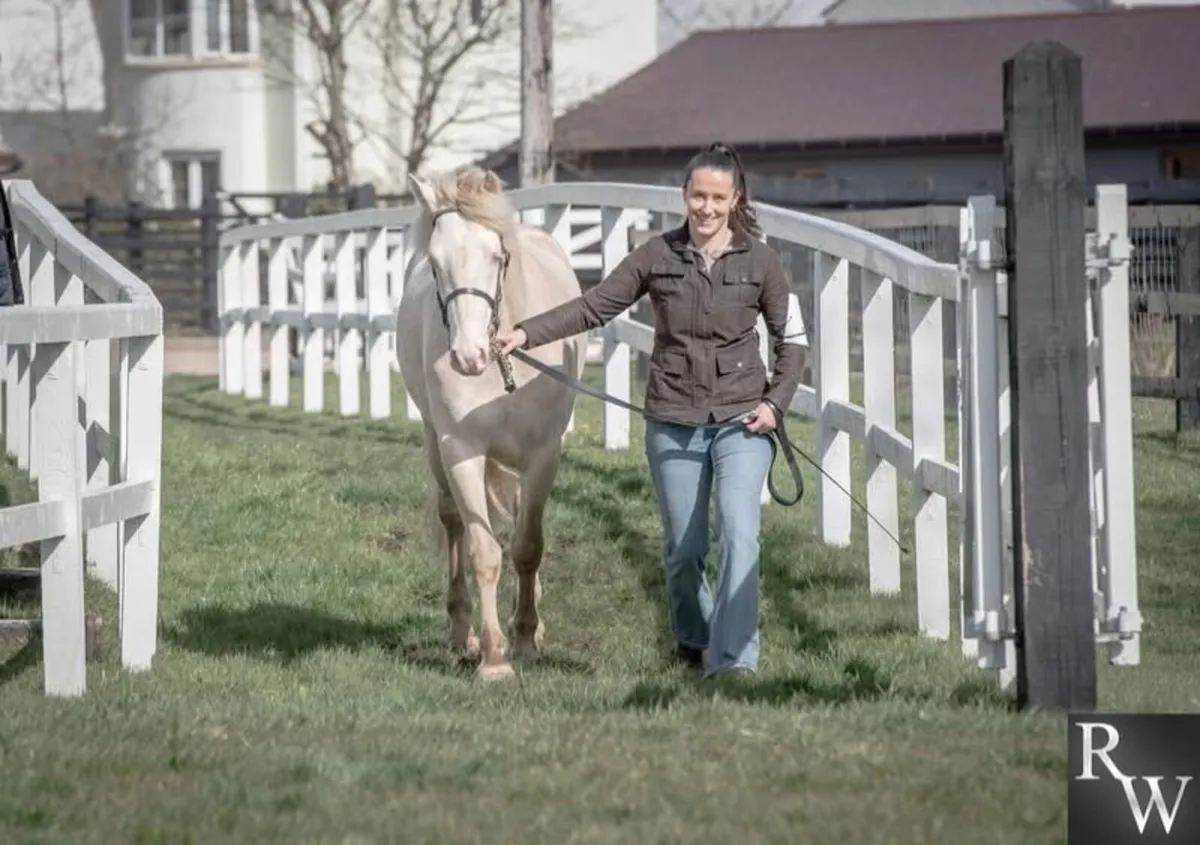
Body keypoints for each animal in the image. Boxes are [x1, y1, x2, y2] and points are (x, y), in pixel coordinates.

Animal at [395, 166, 586, 681]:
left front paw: (525, 636)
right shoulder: (461, 449)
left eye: (498, 257)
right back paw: (464, 632)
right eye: (435, 264)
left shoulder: (544, 453)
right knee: (452, 523)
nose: (467, 357)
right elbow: (483, 552)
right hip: (436, 447)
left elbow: (528, 545)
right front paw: (495, 658)